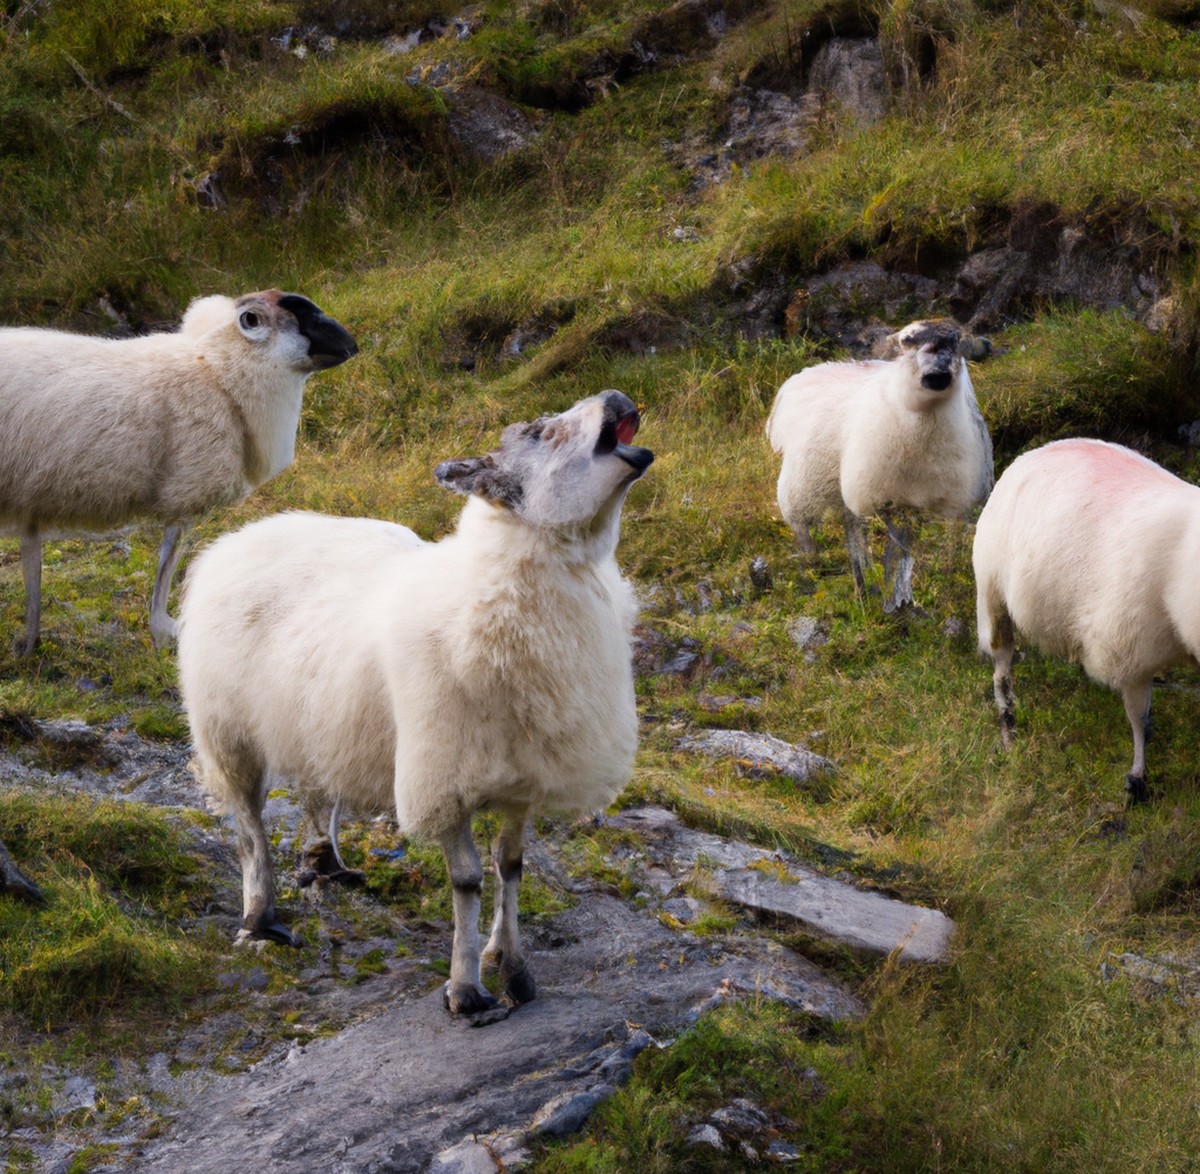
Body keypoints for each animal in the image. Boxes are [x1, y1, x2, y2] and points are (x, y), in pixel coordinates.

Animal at [0, 290, 358, 654]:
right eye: (297, 318)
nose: (349, 345)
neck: (217, 372)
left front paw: (30, 640)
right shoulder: (185, 490)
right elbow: (168, 560)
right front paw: (163, 631)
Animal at [177, 389, 654, 1016]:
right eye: (540, 432)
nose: (616, 397)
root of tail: (240, 537)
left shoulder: (525, 775)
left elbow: (512, 867)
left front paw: (512, 965)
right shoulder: (442, 776)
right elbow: (470, 880)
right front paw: (466, 987)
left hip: (311, 717)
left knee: (313, 786)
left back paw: (323, 862)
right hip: (226, 731)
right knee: (249, 829)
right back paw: (261, 916)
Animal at [766, 319, 994, 611]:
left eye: (954, 341)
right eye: (907, 340)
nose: (938, 375)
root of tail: (801, 377)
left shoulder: (940, 501)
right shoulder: (880, 497)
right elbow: (897, 545)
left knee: (852, 528)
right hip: (803, 485)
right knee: (806, 525)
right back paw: (822, 566)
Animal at [974, 437, 1200, 804]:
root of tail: (1031, 455)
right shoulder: (1128, 650)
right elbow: (1139, 718)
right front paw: (1137, 778)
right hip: (993, 593)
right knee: (1002, 666)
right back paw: (1008, 727)